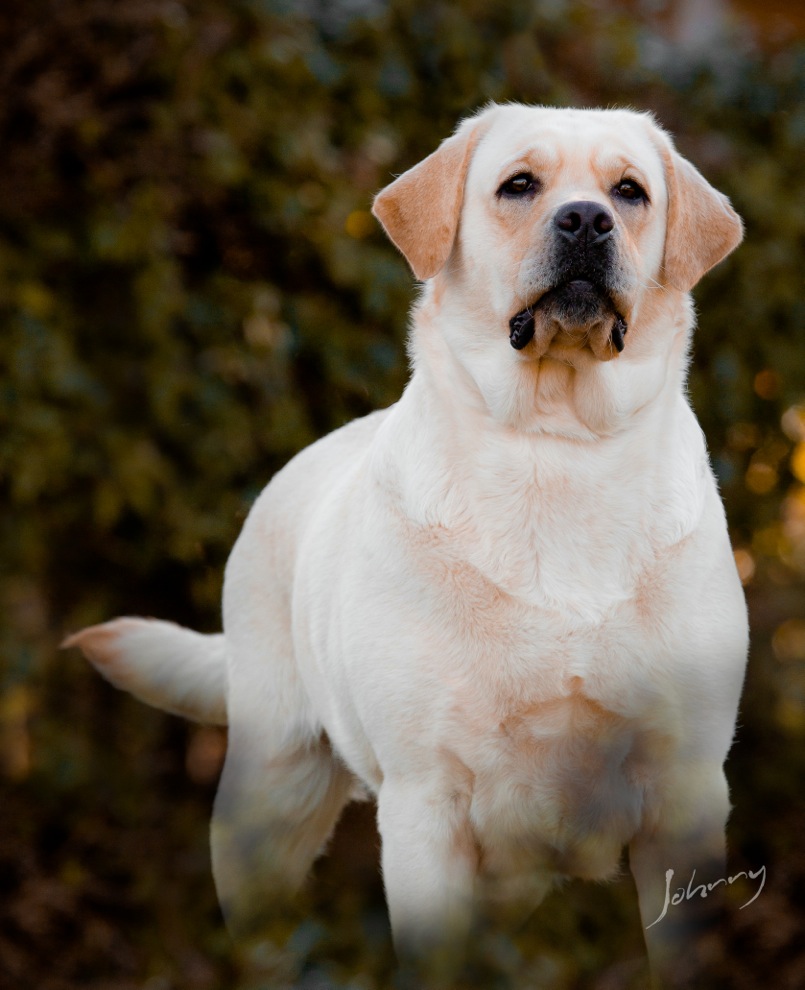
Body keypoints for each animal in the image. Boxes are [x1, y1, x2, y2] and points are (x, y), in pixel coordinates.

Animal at [67, 102, 748, 984]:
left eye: (628, 192)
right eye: (518, 185)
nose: (586, 220)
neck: (554, 446)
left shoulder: (685, 797)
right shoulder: (427, 801)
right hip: (267, 801)